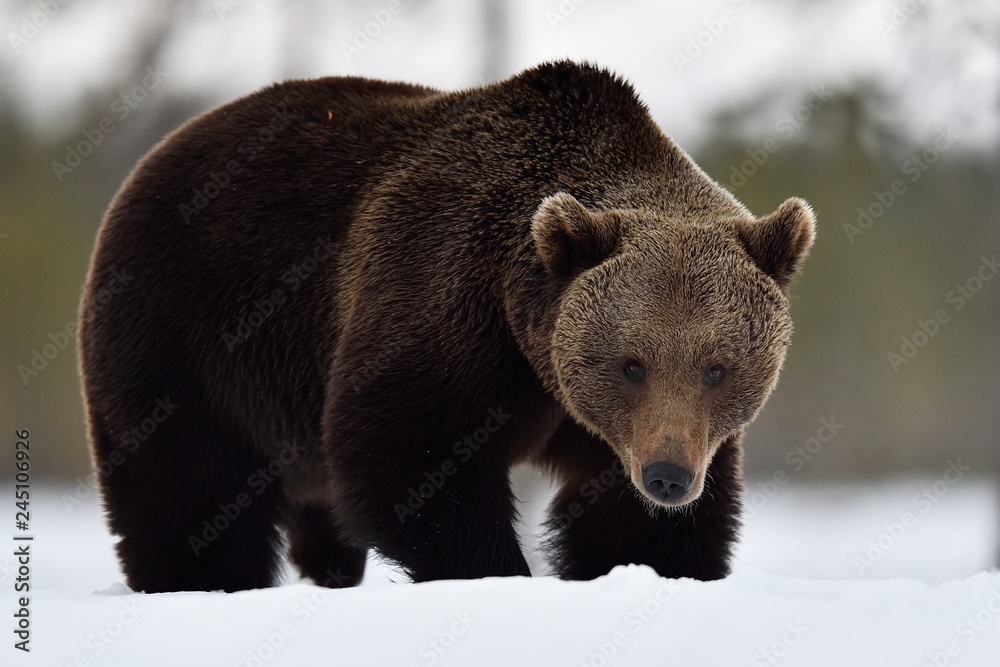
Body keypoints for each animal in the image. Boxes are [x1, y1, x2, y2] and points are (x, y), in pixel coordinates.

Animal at [79, 60, 814, 593]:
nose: (667, 475)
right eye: (630, 363)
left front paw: (654, 565)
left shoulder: (606, 426)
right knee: (189, 480)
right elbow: (409, 451)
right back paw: (200, 580)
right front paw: (494, 571)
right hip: (187, 328)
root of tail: (156, 154)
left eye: (718, 367)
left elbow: (630, 521)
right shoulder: (443, 304)